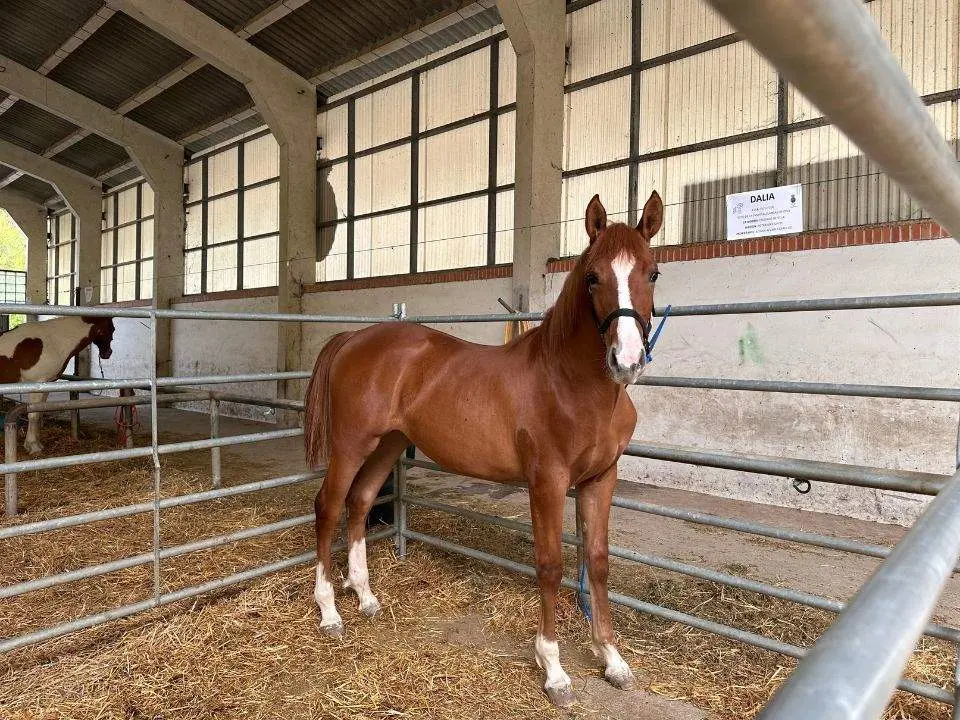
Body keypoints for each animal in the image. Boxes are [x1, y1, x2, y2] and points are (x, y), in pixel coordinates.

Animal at [0, 315, 115, 454]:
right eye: (111, 329)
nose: (108, 353)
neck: (53, 341)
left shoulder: (45, 385)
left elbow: (39, 414)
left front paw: (36, 444)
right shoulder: (35, 383)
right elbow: (33, 415)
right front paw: (33, 446)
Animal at [304, 191, 663, 708]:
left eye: (652, 273)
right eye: (593, 276)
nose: (627, 361)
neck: (571, 384)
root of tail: (356, 337)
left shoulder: (600, 480)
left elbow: (596, 563)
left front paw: (612, 660)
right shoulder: (547, 483)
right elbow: (551, 566)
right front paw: (554, 670)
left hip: (388, 446)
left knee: (360, 502)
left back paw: (366, 597)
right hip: (352, 445)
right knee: (329, 506)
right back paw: (330, 612)